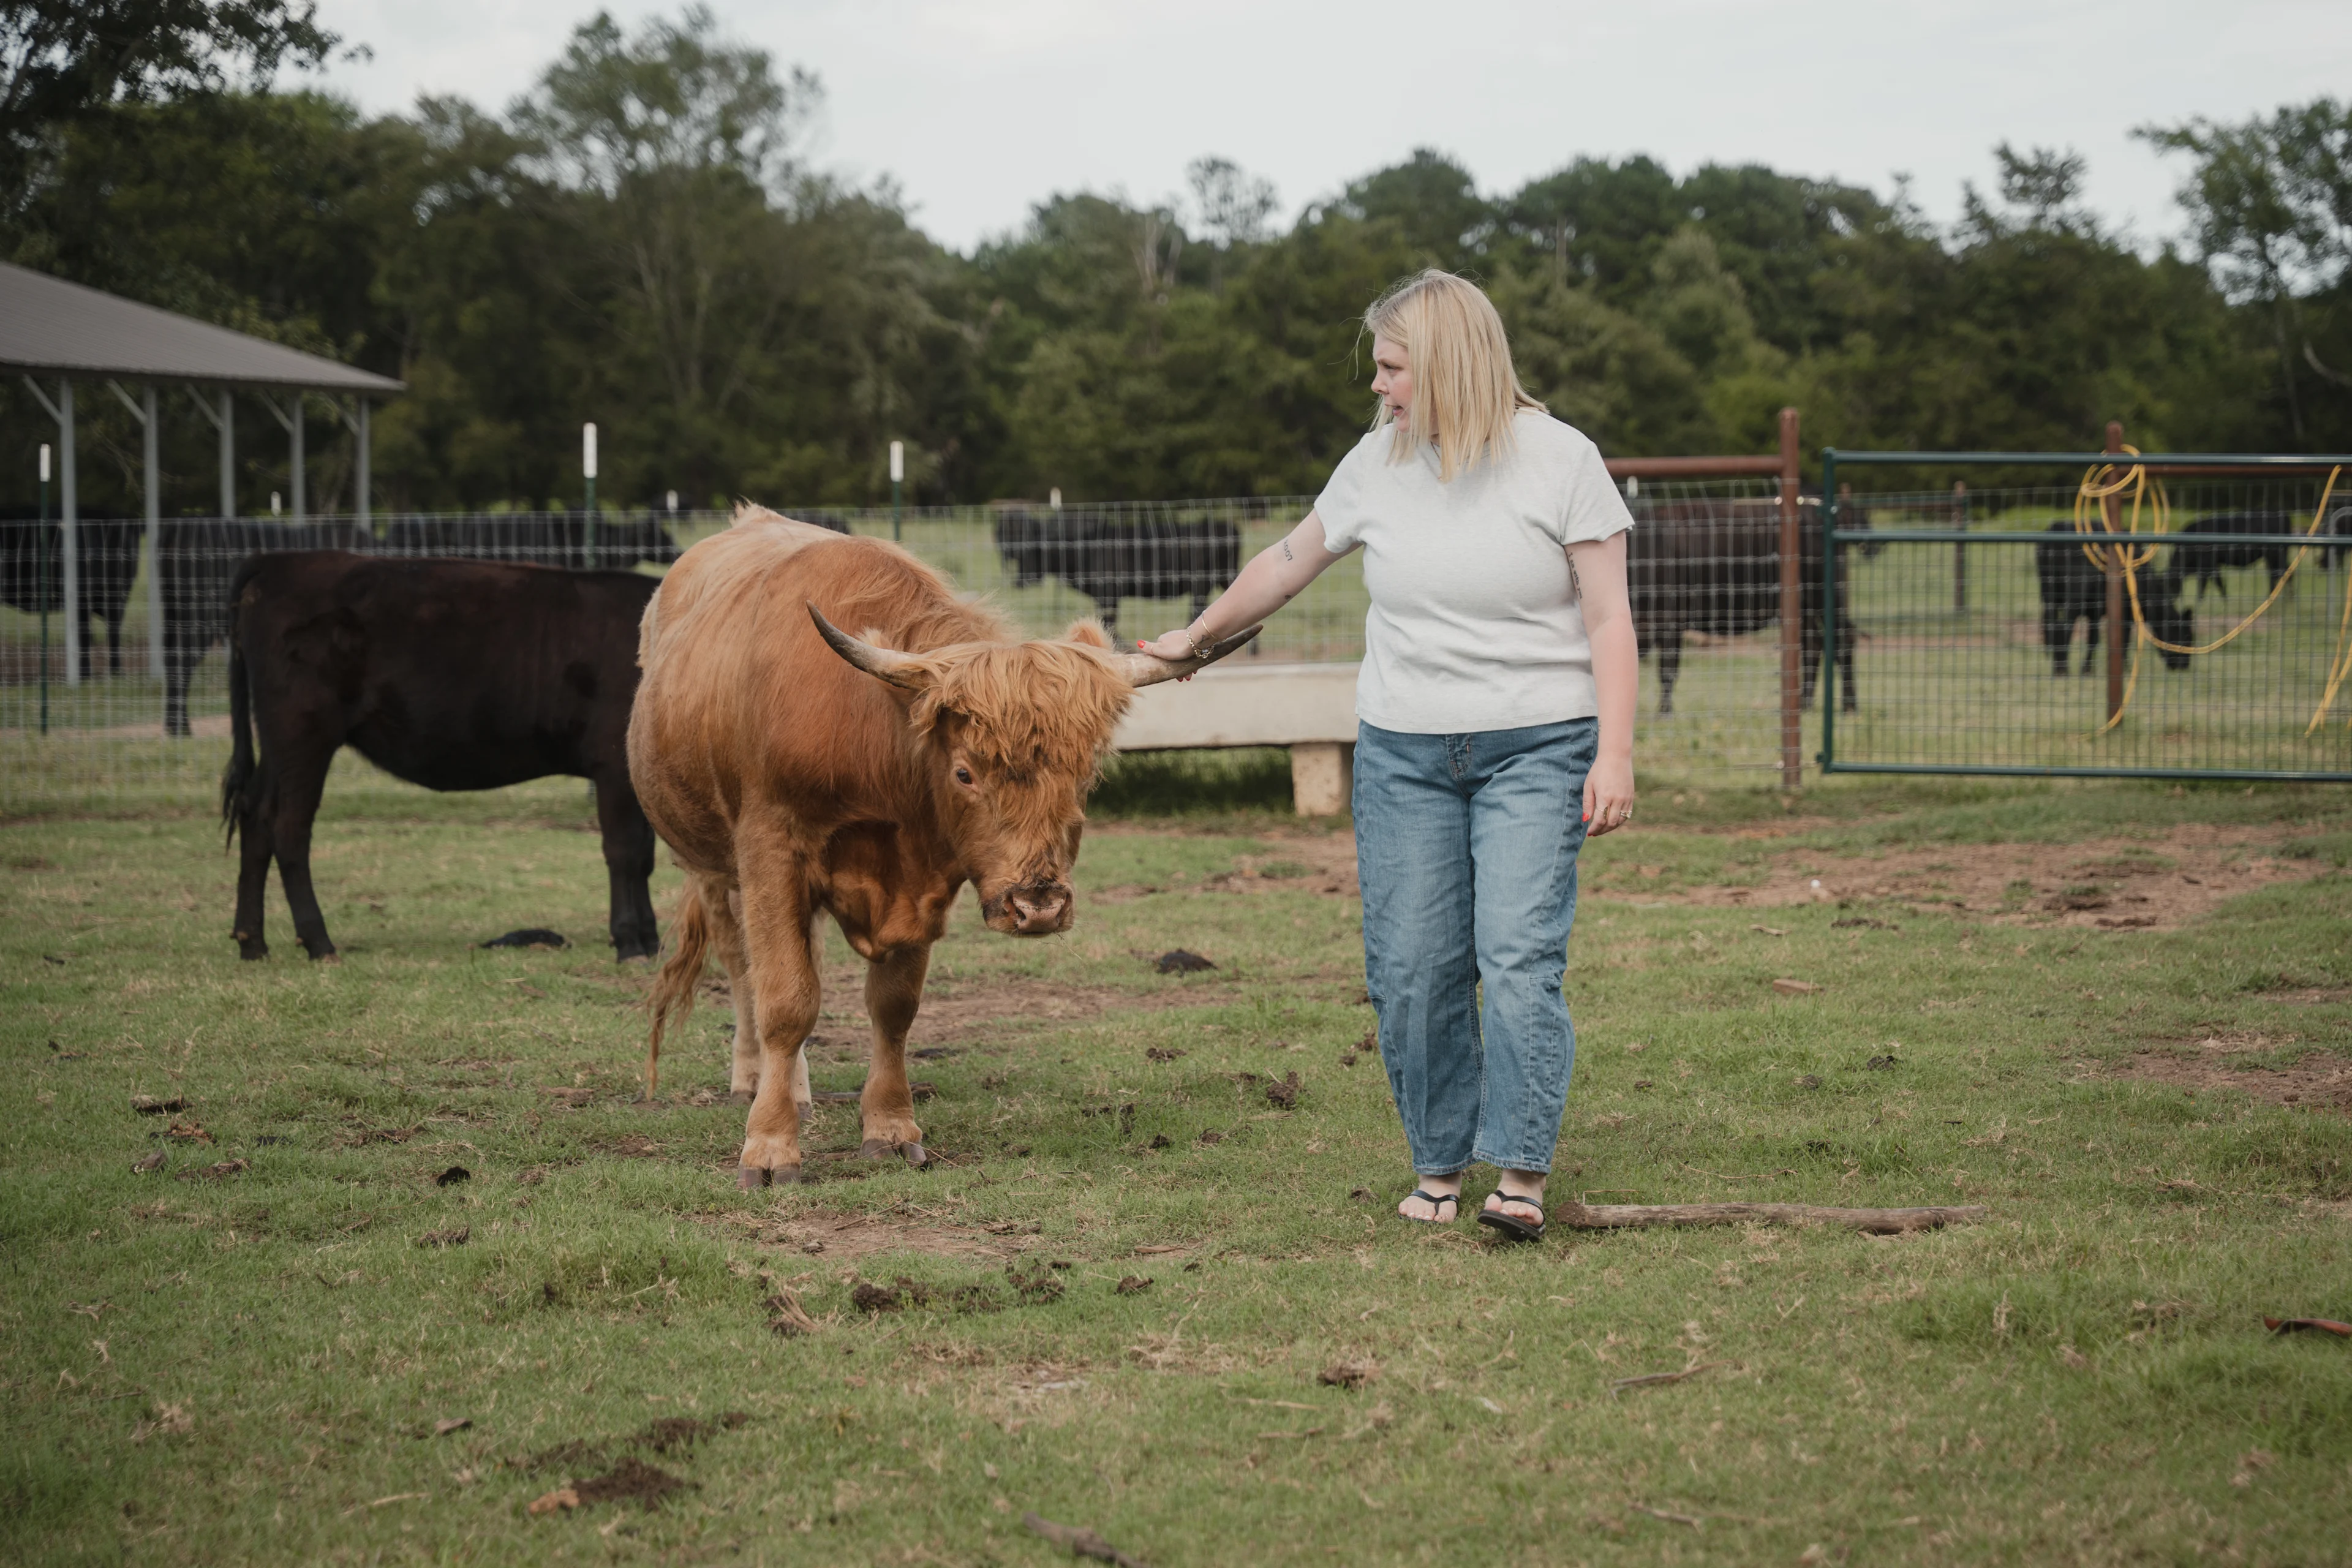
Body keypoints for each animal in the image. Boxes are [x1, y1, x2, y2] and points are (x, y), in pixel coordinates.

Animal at [220, 553, 663, 962]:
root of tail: (282, 560)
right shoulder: (612, 764)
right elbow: (624, 851)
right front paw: (629, 943)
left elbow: (644, 855)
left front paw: (652, 940)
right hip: (303, 731)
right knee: (289, 827)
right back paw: (318, 942)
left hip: (279, 743)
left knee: (255, 813)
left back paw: (252, 942)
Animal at [991, 508, 1241, 641]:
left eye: (1032, 549)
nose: (1019, 581)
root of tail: (1225, 525)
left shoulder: (1109, 594)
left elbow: (1108, 623)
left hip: (1204, 583)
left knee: (1196, 611)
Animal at [1625, 494, 1874, 716]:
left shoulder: (1669, 620)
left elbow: (1667, 670)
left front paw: (1664, 713)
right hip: (1805, 608)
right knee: (1813, 645)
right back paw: (1805, 705)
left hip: (1824, 597)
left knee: (1843, 639)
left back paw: (1849, 707)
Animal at [2033, 522, 2194, 676]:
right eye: (2187, 636)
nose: (2185, 666)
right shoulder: (2126, 612)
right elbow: (2124, 640)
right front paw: (2125, 668)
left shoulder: (2095, 612)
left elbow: (2094, 639)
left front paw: (2087, 669)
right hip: (2073, 599)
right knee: (2064, 628)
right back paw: (2062, 669)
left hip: (2050, 595)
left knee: (2051, 625)